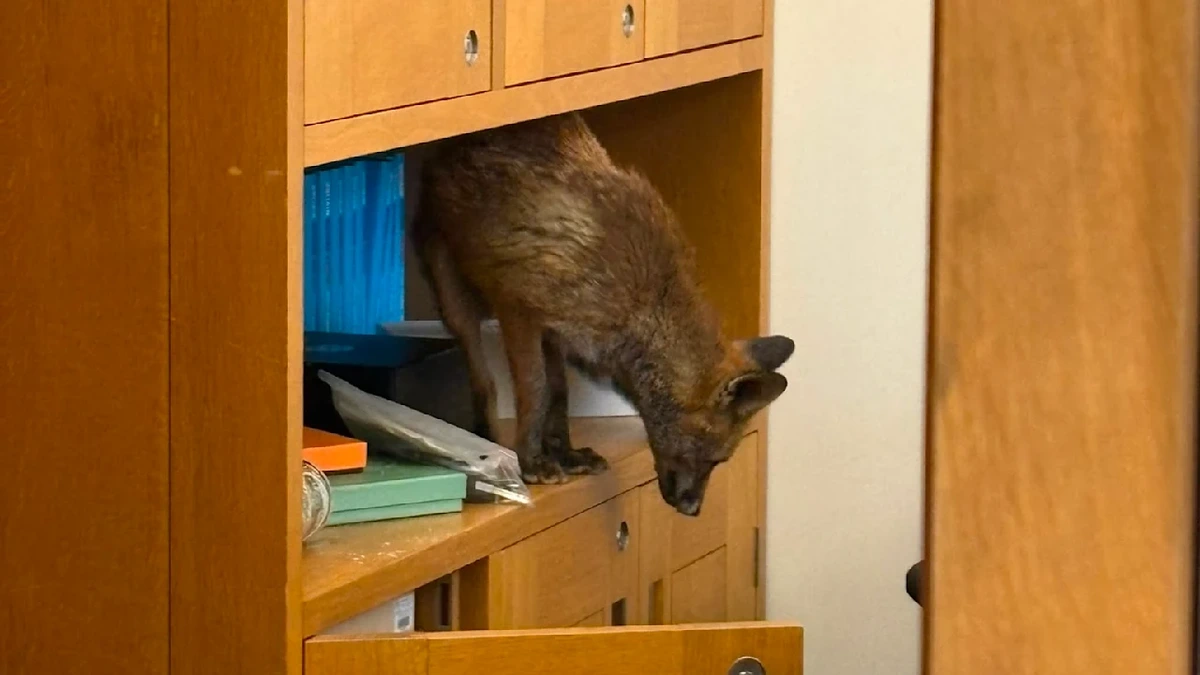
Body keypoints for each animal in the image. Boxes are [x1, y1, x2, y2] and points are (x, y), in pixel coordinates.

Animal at [411, 112, 793, 516]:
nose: (693, 510)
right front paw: (531, 462)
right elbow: (536, 390)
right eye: (714, 458)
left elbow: (558, 393)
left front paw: (564, 453)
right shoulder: (518, 310)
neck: (643, 303)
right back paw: (486, 441)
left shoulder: (556, 331)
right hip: (456, 301)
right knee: (483, 380)